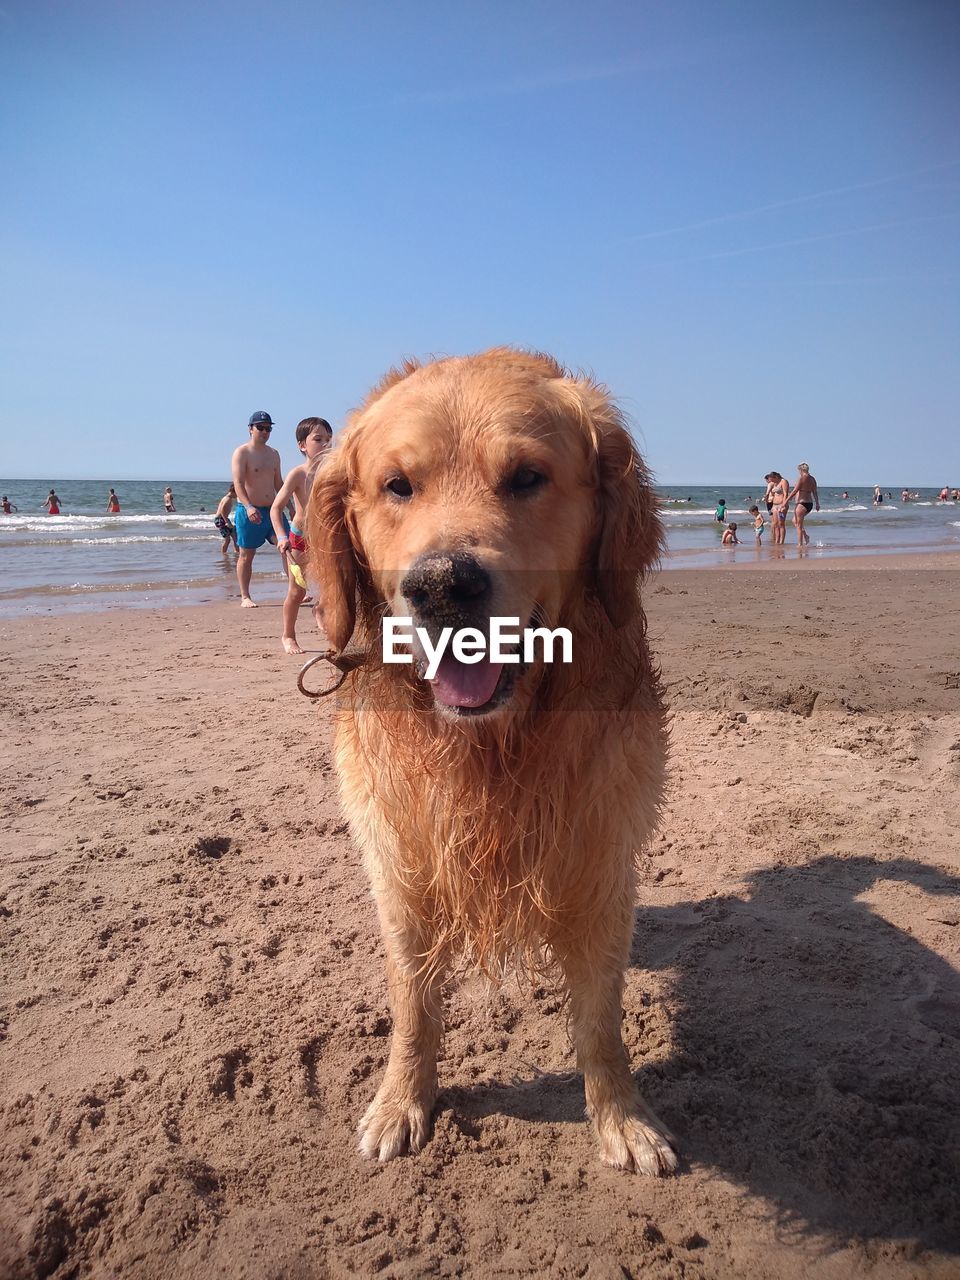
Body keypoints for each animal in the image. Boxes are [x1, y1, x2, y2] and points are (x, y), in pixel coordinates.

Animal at [308, 345, 675, 1172]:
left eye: (526, 477)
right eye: (398, 485)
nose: (444, 585)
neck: (491, 748)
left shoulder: (601, 865)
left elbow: (600, 1018)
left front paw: (623, 1117)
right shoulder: (402, 869)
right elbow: (412, 1009)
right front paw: (400, 1103)